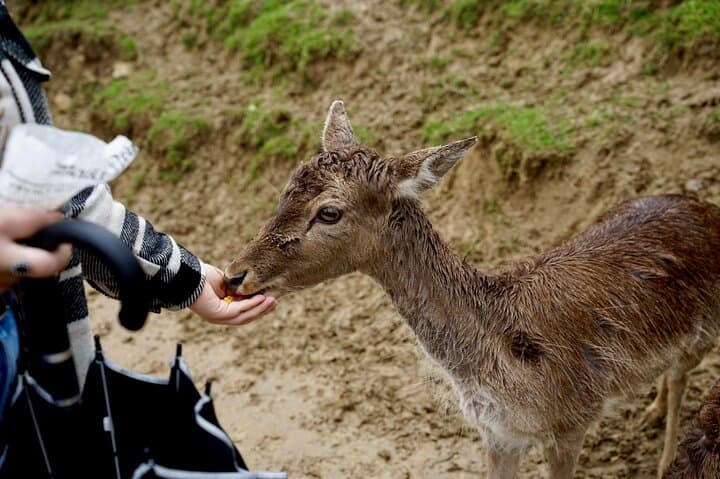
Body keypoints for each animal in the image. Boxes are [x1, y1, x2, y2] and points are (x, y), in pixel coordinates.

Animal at [224, 100, 720, 478]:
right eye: (286, 188)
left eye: (329, 212)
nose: (234, 274)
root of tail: (705, 208)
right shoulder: (497, 433)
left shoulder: (573, 420)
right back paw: (652, 409)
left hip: (707, 330)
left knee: (682, 375)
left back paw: (663, 457)